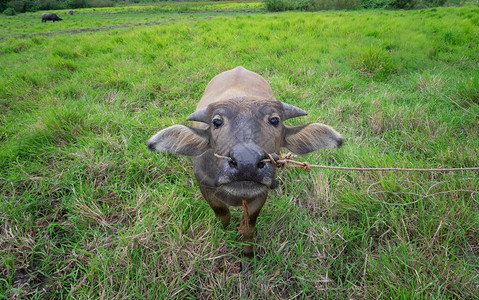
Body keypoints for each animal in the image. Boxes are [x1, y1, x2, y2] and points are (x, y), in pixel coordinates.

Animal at [148, 67, 344, 256]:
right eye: (216, 122)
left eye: (275, 120)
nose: (246, 163)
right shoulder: (205, 187)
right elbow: (223, 215)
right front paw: (226, 232)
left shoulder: (260, 194)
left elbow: (250, 226)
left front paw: (248, 253)